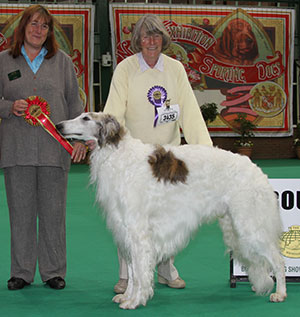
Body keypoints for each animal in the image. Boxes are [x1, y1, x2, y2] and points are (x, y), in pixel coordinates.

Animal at [56, 111, 286, 308]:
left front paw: (135, 301)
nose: (58, 125)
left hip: (250, 227)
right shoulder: (125, 231)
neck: (116, 154)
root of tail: (257, 170)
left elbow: (139, 273)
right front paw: (127, 296)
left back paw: (280, 293)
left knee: (278, 260)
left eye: (86, 118)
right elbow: (132, 273)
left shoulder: (138, 232)